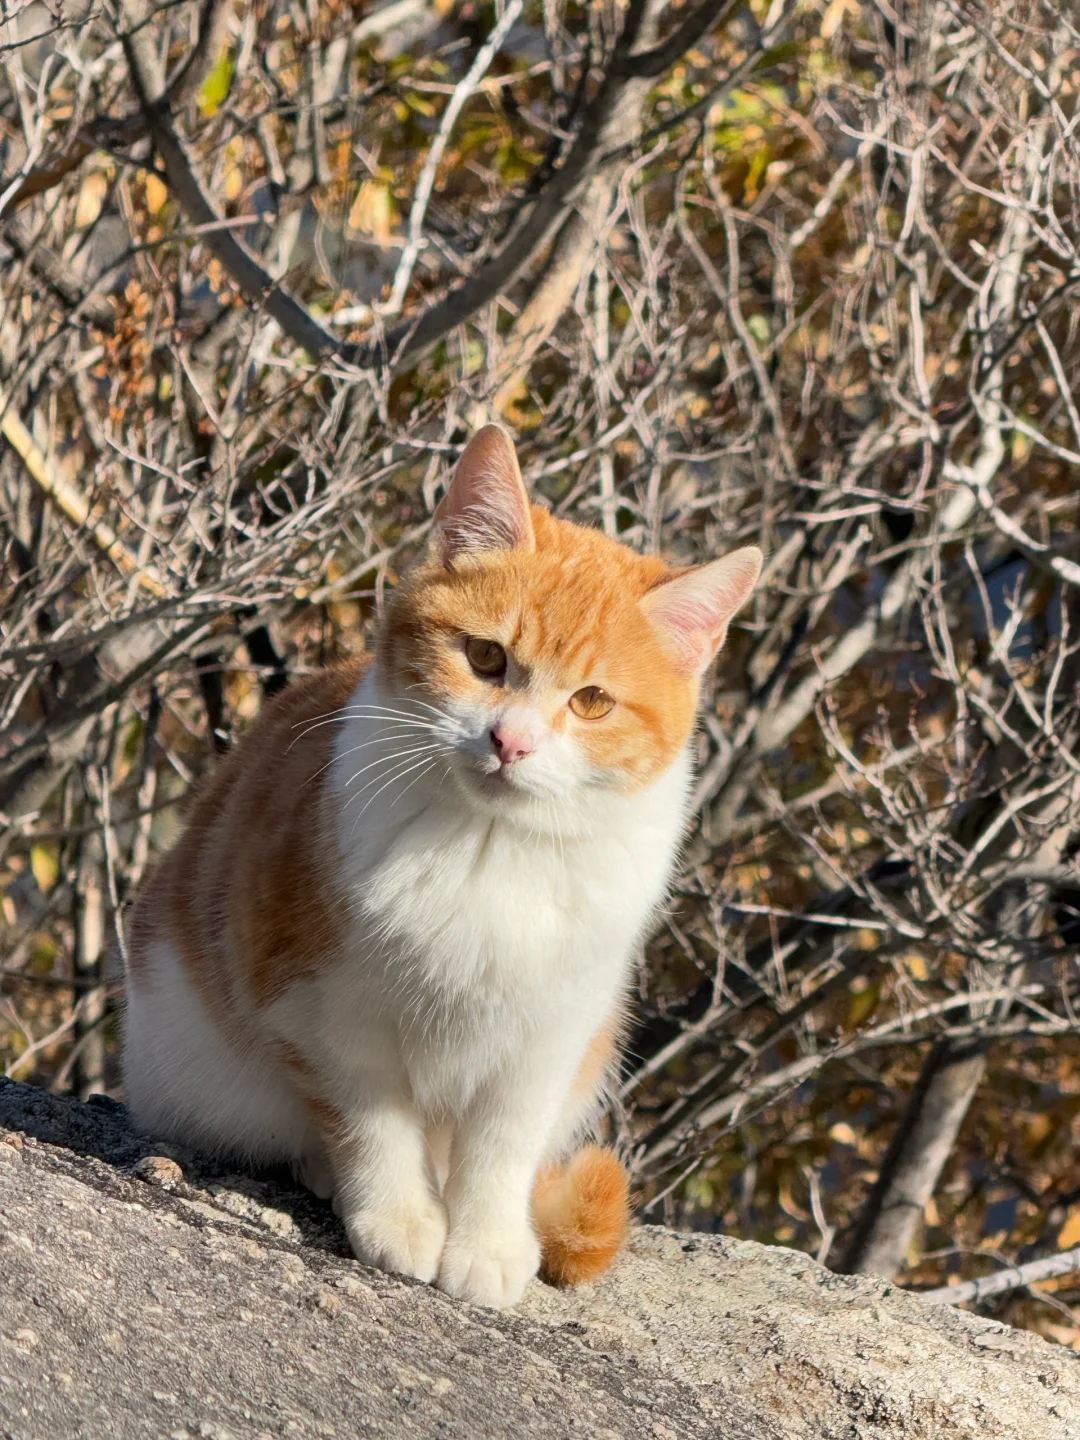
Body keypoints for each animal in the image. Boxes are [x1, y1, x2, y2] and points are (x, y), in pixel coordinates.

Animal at [124, 423, 760, 1307]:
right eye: (486, 658)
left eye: (592, 701)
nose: (511, 741)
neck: (492, 853)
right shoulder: (328, 1013)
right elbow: (373, 1125)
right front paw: (399, 1219)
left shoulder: (549, 1039)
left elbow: (502, 1147)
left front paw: (486, 1243)